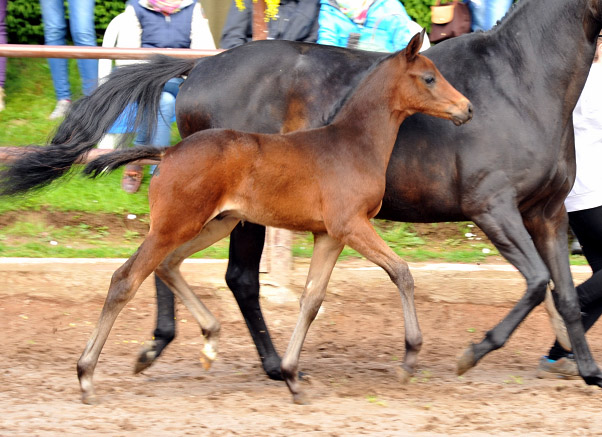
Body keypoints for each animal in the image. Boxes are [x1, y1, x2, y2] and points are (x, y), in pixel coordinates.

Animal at [78, 32, 468, 404]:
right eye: (429, 78)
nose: (467, 107)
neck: (354, 144)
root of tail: (168, 151)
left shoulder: (329, 235)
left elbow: (311, 299)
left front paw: (292, 376)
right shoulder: (351, 224)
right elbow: (401, 272)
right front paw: (409, 357)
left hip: (217, 223)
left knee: (169, 264)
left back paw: (210, 340)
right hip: (175, 225)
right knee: (126, 279)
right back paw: (86, 375)